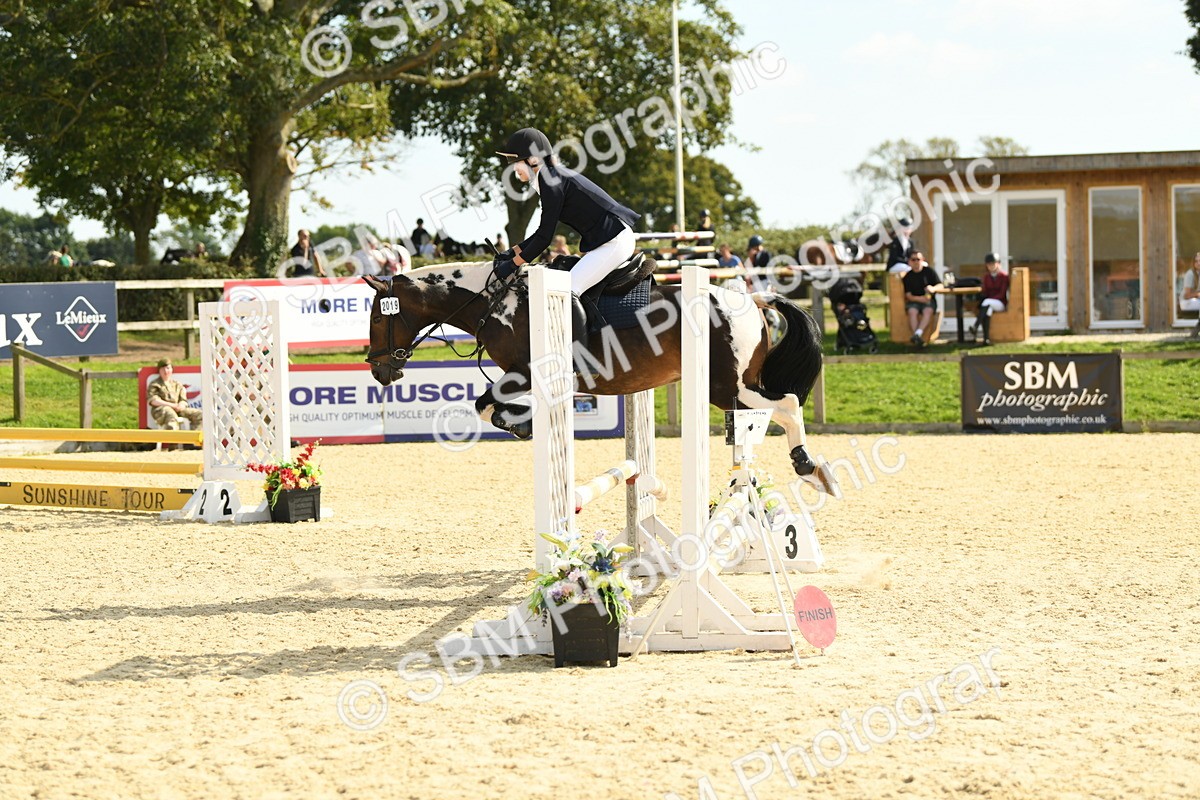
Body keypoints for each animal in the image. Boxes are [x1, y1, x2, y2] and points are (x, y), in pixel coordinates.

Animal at [362, 262, 837, 492]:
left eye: (377, 318)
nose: (380, 371)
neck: (493, 301)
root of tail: (753, 298)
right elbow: (488, 404)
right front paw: (521, 423)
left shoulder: (527, 370)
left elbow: (485, 404)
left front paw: (520, 423)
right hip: (736, 389)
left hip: (727, 387)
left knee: (788, 405)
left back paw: (810, 467)